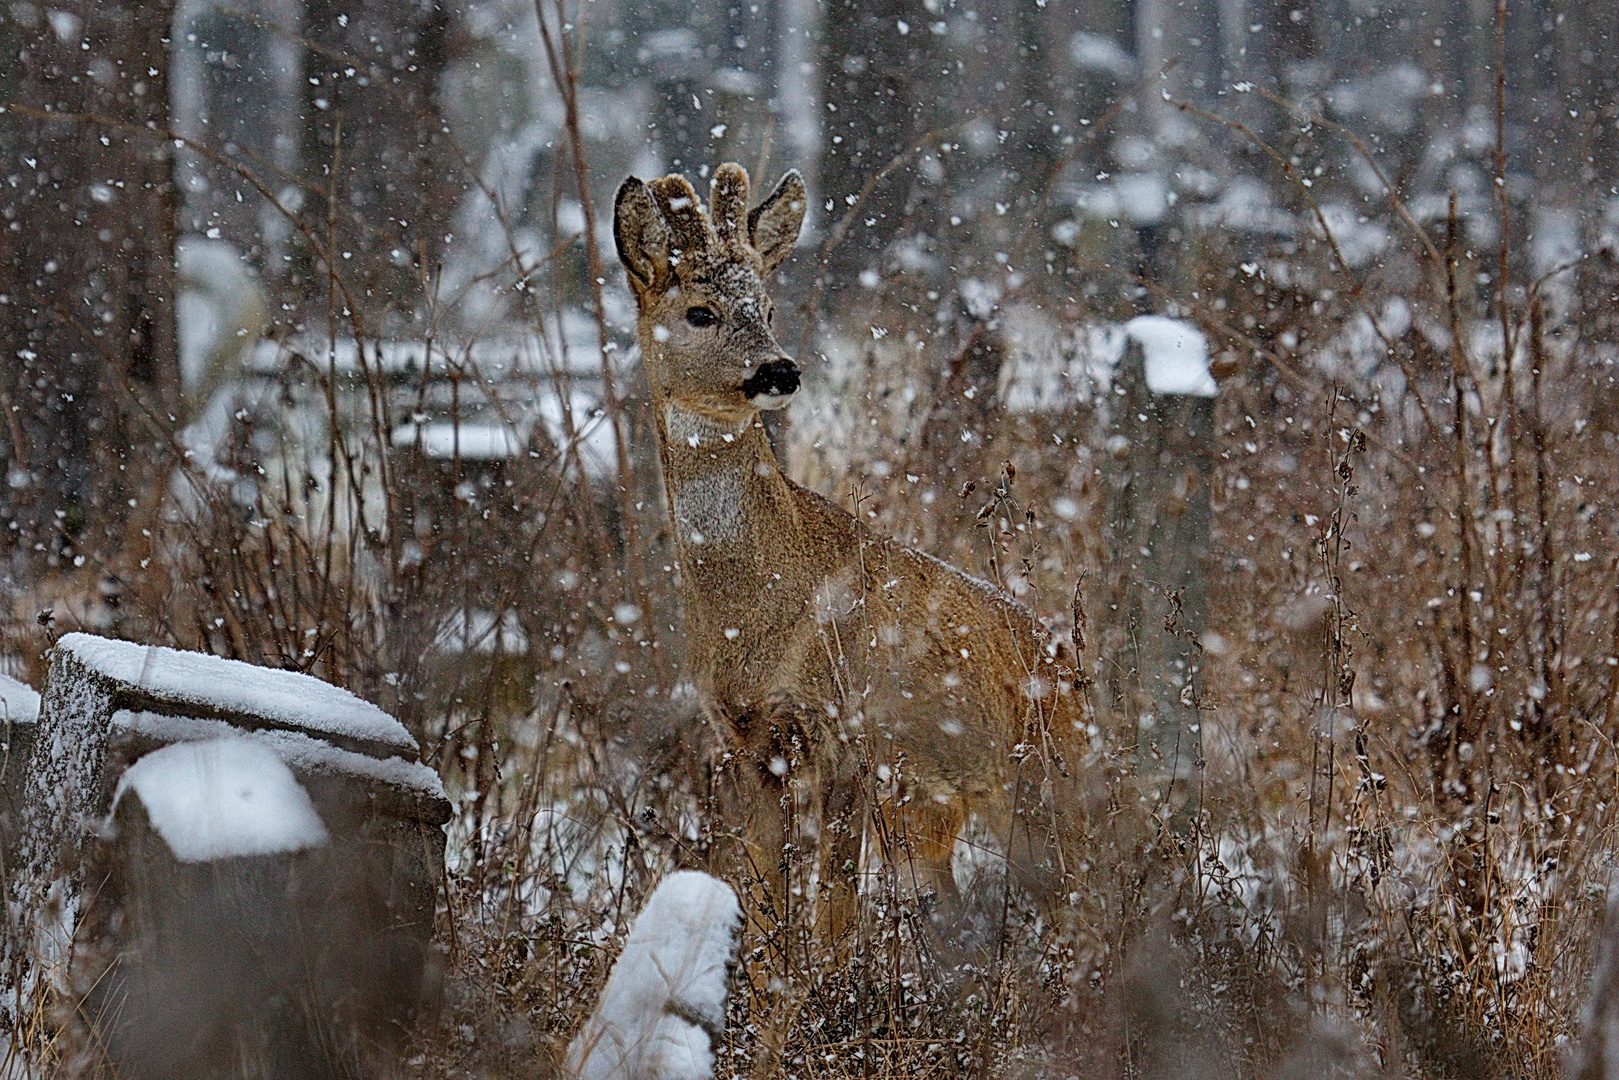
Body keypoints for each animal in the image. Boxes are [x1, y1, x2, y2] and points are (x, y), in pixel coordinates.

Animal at [615, 160, 1087, 939]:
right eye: (699, 313)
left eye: (767, 306)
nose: (779, 370)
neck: (758, 608)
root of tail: (1070, 660)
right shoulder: (748, 742)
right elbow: (764, 894)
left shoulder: (845, 733)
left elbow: (831, 911)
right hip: (954, 804)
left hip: (1040, 780)